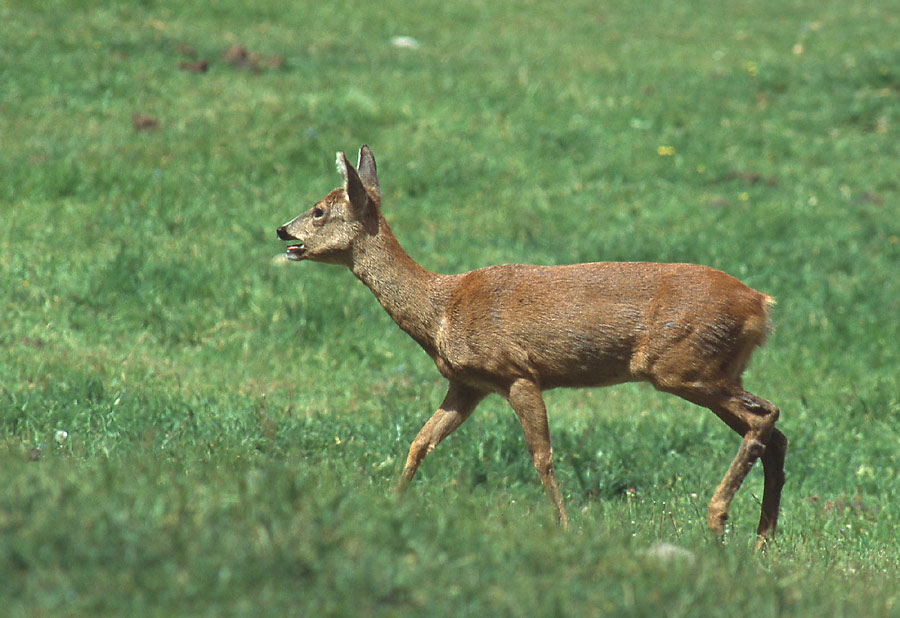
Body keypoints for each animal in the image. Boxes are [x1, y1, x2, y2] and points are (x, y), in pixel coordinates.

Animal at [276, 147, 788, 548]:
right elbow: (422, 441)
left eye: (319, 210)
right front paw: (392, 505)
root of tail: (760, 304)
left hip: (683, 365)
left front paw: (563, 529)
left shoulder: (516, 372)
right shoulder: (468, 385)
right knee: (773, 433)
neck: (441, 310)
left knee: (766, 416)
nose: (283, 231)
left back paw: (718, 519)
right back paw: (761, 540)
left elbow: (541, 456)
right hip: (714, 369)